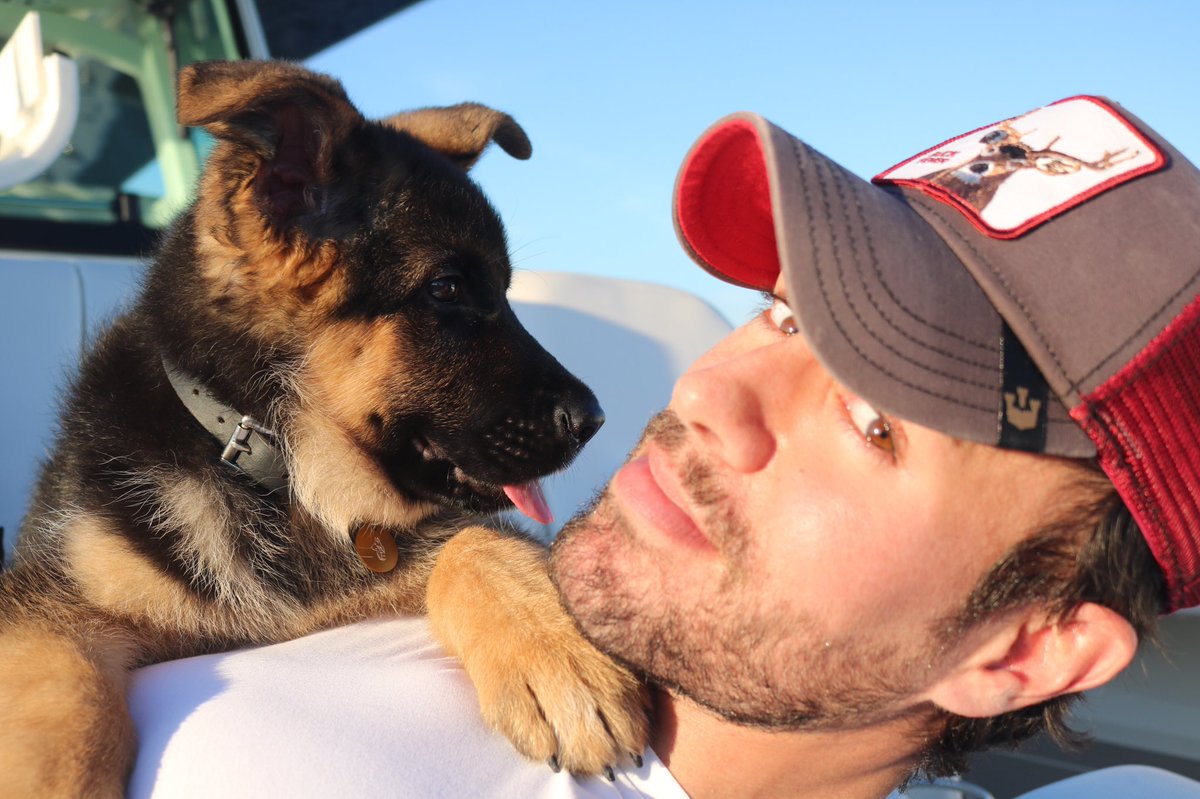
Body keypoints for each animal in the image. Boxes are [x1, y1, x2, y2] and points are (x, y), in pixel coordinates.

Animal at [0, 59, 648, 791]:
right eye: (447, 288)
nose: (595, 420)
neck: (277, 471)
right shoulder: (46, 607)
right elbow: (65, 714)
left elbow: (477, 540)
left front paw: (561, 656)